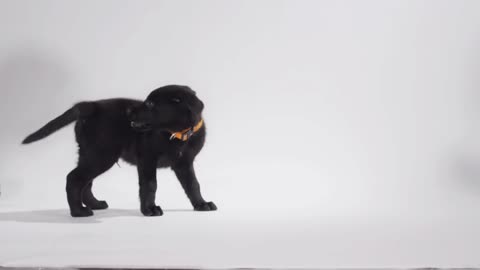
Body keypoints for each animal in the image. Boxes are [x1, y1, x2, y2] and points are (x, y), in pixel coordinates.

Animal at [21, 85, 217, 217]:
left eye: (151, 104)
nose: (128, 111)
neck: (177, 134)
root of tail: (90, 105)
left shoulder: (184, 163)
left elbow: (193, 185)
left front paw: (201, 204)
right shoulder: (147, 159)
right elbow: (150, 185)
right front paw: (149, 209)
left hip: (91, 154)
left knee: (85, 181)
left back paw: (95, 204)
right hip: (101, 155)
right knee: (75, 178)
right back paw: (78, 212)